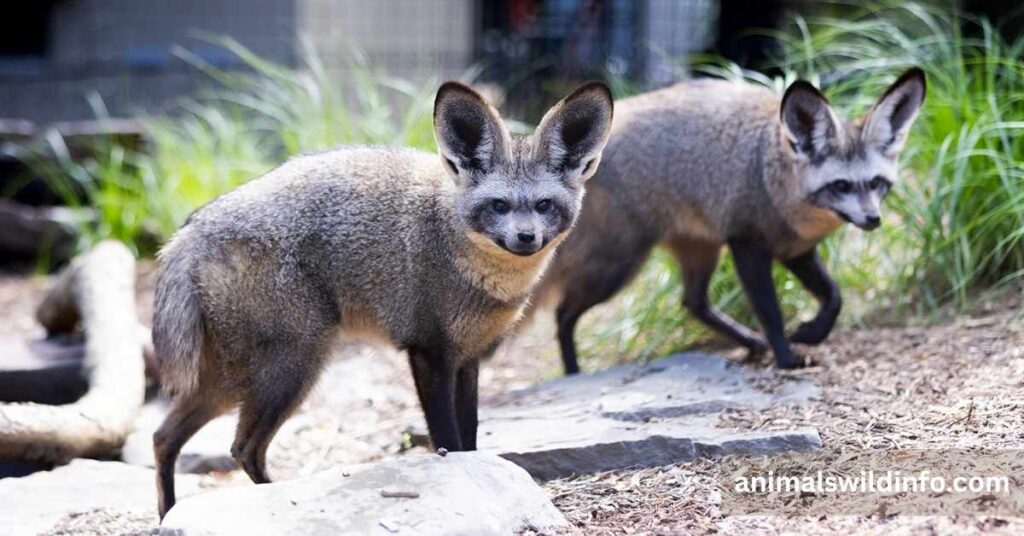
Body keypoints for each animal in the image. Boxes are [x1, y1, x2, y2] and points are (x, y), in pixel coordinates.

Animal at [150, 81, 613, 518]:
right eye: (498, 205)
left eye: (543, 205)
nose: (526, 238)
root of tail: (194, 228)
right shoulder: (428, 352)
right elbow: (449, 440)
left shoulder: (469, 358)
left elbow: (470, 435)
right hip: (289, 368)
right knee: (242, 447)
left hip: (231, 379)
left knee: (163, 436)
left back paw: (168, 512)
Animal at [534, 68, 925, 374]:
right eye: (842, 185)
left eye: (876, 183)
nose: (873, 219)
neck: (773, 179)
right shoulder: (747, 243)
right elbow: (770, 311)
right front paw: (787, 358)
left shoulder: (796, 250)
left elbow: (834, 297)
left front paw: (812, 332)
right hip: (617, 266)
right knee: (563, 313)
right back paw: (572, 371)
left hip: (700, 249)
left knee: (693, 302)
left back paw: (750, 343)